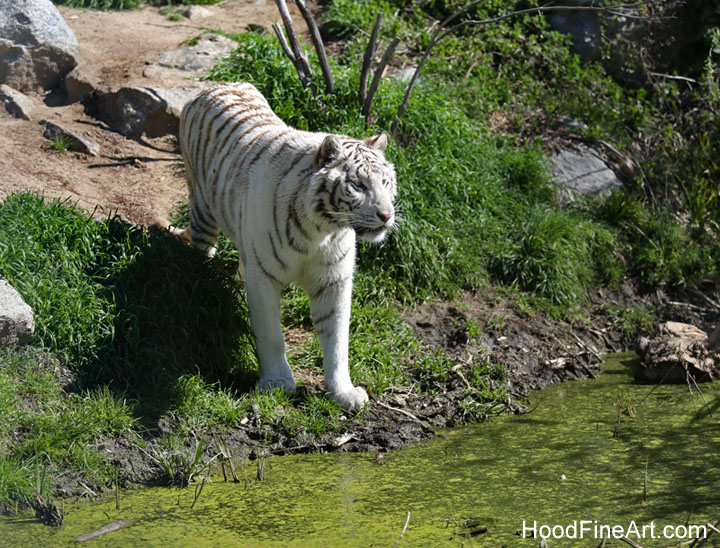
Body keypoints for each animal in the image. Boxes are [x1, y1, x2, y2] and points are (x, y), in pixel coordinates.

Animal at [175, 82, 397, 412]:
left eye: (385, 182)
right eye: (359, 185)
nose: (387, 215)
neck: (320, 231)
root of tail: (214, 84)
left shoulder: (333, 280)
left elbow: (337, 340)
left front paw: (344, 393)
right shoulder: (264, 276)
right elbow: (271, 333)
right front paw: (277, 383)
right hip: (203, 209)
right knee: (201, 251)